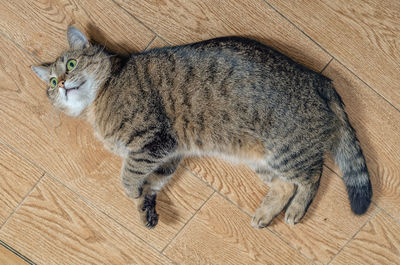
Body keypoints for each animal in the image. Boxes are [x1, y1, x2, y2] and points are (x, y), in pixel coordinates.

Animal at [31, 27, 372, 229]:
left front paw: (131, 191)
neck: (99, 100)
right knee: (285, 185)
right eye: (51, 82)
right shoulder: (168, 155)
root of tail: (318, 78)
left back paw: (296, 210)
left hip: (286, 151)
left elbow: (129, 173)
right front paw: (145, 206)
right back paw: (265, 214)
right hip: (260, 159)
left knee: (312, 176)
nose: (61, 84)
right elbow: (152, 181)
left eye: (71, 64)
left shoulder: (154, 141)